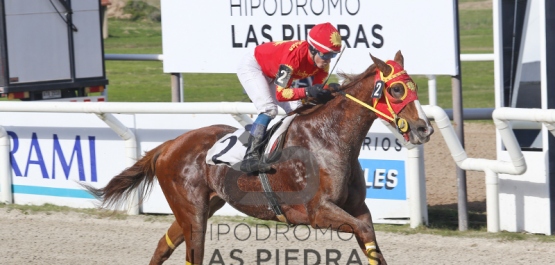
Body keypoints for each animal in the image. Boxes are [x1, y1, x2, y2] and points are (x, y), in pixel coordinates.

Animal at [84, 50, 436, 262]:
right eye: (396, 90)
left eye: (415, 87)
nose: (424, 128)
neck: (329, 138)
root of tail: (168, 145)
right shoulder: (317, 212)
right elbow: (362, 232)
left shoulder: (359, 209)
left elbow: (370, 237)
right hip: (192, 212)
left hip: (203, 206)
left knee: (163, 246)